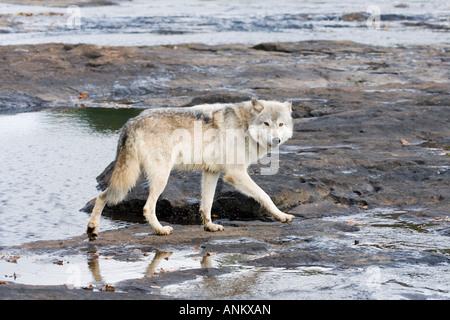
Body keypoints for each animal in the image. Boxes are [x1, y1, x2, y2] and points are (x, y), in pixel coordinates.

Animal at [87, 98, 296, 240]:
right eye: (266, 123)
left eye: (280, 124)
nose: (276, 140)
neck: (244, 126)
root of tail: (131, 122)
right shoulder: (235, 174)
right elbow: (264, 195)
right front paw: (282, 216)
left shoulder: (212, 172)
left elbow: (207, 204)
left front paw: (209, 226)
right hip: (159, 177)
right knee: (147, 207)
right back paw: (160, 230)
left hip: (132, 176)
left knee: (102, 195)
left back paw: (92, 228)